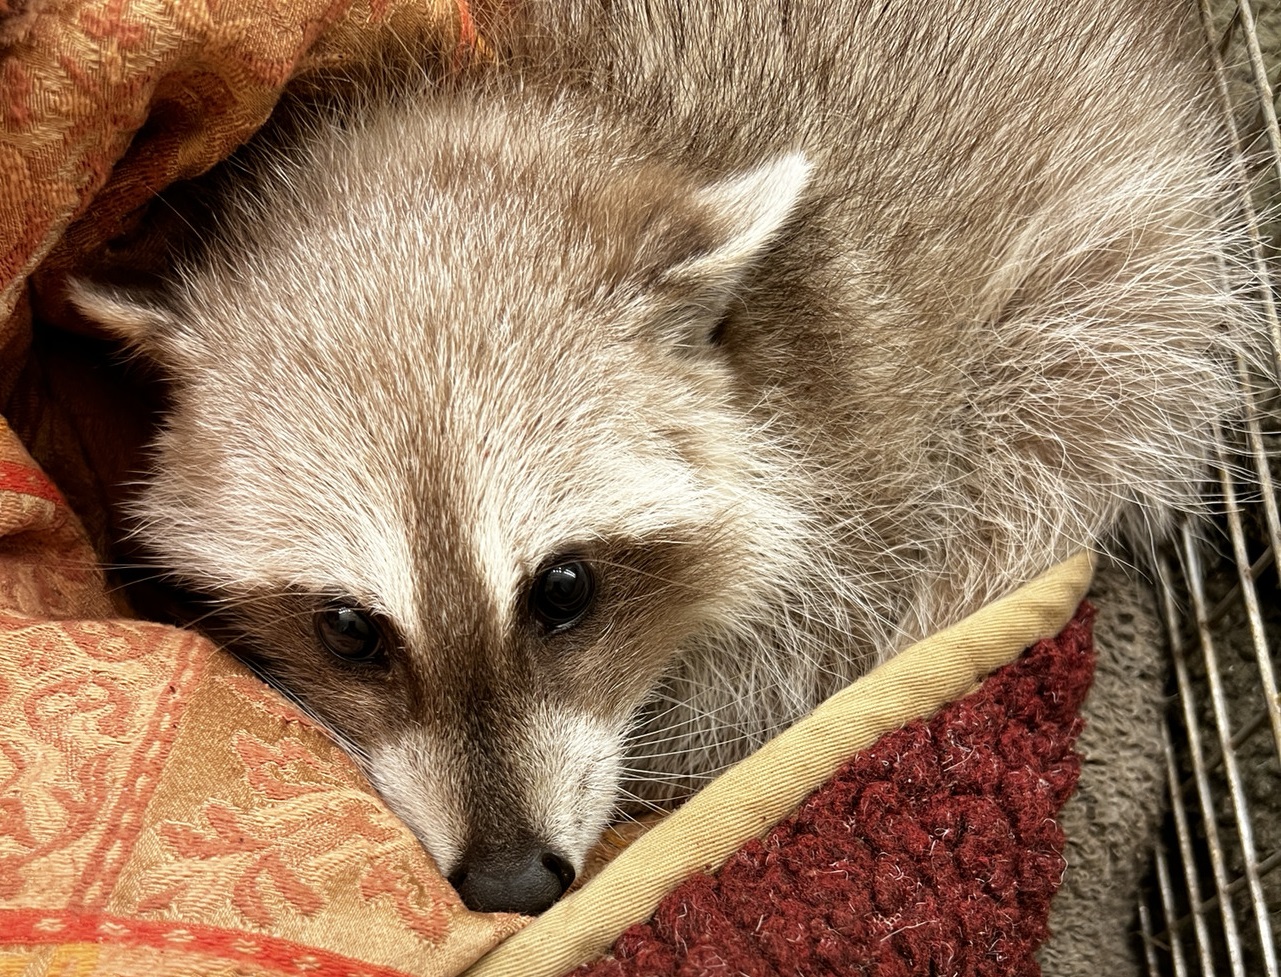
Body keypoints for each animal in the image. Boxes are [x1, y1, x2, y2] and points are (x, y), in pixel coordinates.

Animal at [71, 0, 1259, 928]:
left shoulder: (864, 477)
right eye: (349, 629)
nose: (511, 885)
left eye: (564, 587)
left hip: (1122, 289)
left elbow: (787, 672)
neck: (575, 116)